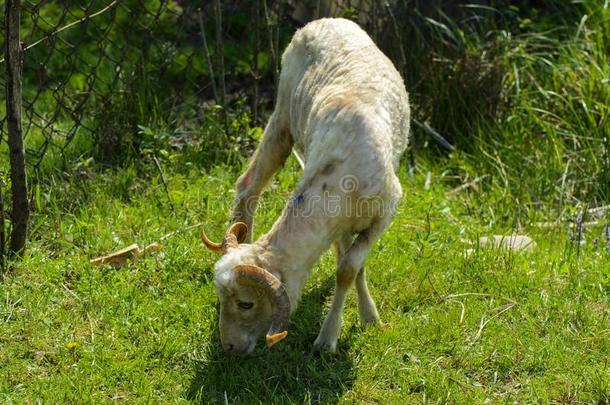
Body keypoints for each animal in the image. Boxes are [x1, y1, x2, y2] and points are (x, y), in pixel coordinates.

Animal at [201, 18, 408, 354]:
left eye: (246, 303)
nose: (228, 348)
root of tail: (325, 21)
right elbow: (348, 265)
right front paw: (335, 332)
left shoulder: (379, 216)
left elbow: (350, 268)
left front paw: (348, 326)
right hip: (283, 115)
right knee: (249, 185)